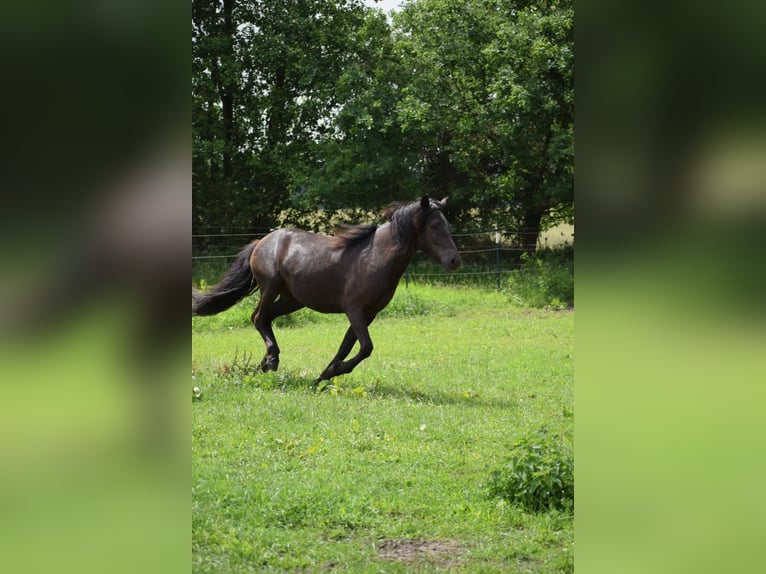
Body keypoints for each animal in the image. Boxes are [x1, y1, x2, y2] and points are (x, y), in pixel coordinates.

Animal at [192, 196, 461, 383]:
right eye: (434, 225)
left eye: (447, 224)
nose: (454, 261)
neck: (376, 257)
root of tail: (262, 241)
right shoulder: (355, 310)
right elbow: (366, 347)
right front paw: (334, 371)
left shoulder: (369, 314)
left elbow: (348, 346)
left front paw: (324, 375)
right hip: (270, 287)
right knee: (258, 317)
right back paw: (271, 361)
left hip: (292, 299)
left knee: (264, 319)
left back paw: (266, 362)